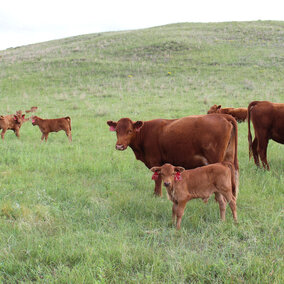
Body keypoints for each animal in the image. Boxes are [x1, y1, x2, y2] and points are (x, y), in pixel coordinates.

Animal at [107, 113, 239, 202]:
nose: (119, 146)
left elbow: (157, 179)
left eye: (129, 130)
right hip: (229, 156)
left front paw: (157, 196)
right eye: (117, 131)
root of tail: (222, 116)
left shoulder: (155, 161)